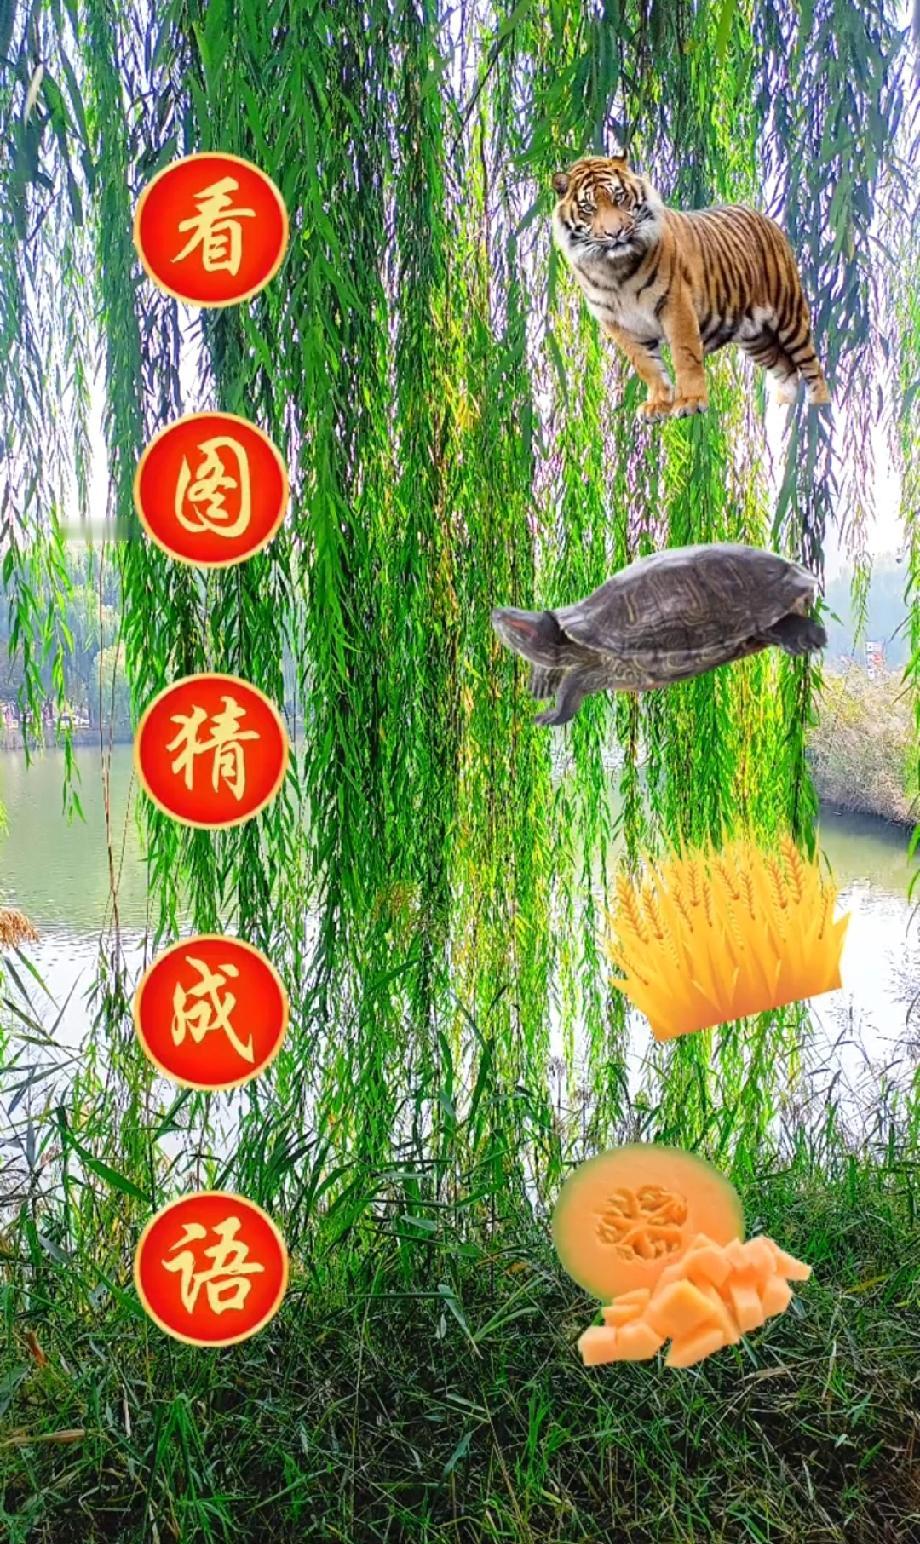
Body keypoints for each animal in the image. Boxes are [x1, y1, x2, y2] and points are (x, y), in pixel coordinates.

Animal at [551, 155, 830, 421]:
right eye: (588, 208)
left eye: (619, 197)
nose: (615, 232)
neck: (613, 270)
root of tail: (764, 216)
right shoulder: (619, 324)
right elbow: (647, 366)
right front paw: (658, 405)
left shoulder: (675, 305)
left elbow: (685, 356)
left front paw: (690, 402)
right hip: (755, 336)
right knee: (786, 369)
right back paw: (785, 409)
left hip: (789, 315)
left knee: (811, 366)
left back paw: (819, 407)